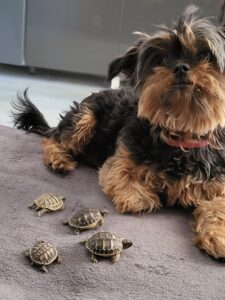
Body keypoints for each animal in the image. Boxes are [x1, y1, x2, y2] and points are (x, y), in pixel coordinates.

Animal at [12, 5, 225, 260]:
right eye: (160, 58)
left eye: (206, 55)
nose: (181, 67)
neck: (180, 135)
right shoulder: (120, 163)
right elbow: (134, 194)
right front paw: (149, 197)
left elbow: (218, 206)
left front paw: (217, 237)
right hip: (85, 117)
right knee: (53, 139)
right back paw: (59, 160)